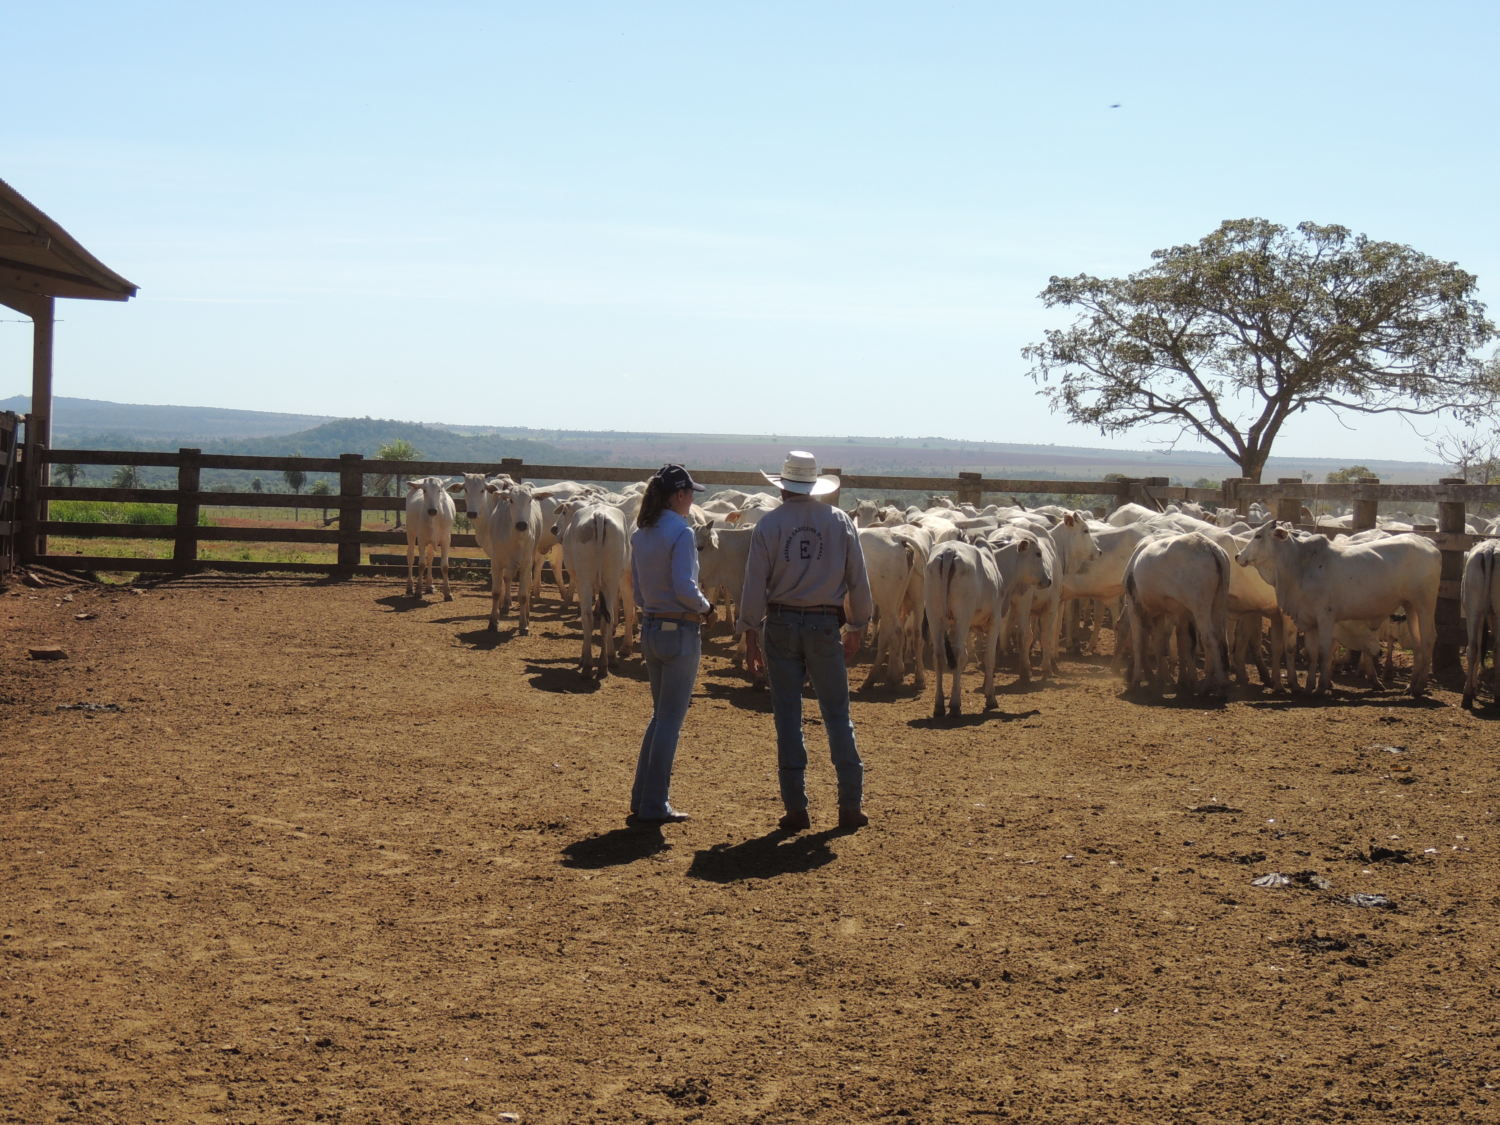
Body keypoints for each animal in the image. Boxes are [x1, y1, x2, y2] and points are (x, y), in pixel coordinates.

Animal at [552, 501, 633, 678]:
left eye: (564, 512)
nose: (554, 529)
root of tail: (599, 514)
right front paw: (610, 656)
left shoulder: (579, 582)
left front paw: (583, 657)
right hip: (611, 580)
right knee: (608, 618)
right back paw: (605, 663)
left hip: (585, 581)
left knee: (587, 616)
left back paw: (588, 665)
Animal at [924, 534, 1056, 717]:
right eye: (1038, 553)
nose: (1048, 580)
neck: (998, 566)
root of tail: (949, 552)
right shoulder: (994, 621)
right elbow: (989, 657)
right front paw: (990, 697)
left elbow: (966, 658)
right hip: (961, 617)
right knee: (957, 653)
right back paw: (956, 704)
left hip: (934, 616)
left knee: (938, 655)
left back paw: (939, 705)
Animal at [1128, 534, 1230, 702]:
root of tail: (1210, 547)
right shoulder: (1166, 613)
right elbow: (1167, 643)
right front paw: (1164, 679)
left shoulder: (1134, 606)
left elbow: (1138, 643)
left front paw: (1136, 680)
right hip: (1218, 604)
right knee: (1220, 639)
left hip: (1200, 606)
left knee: (1209, 638)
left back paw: (1216, 685)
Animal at [1230, 528, 1440, 696]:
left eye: (1258, 535)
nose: (1238, 556)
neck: (1301, 565)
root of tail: (1427, 542)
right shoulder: (1308, 620)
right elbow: (1312, 653)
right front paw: (1309, 687)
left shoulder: (1325, 617)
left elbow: (1324, 651)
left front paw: (1321, 687)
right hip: (1411, 606)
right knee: (1418, 643)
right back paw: (1411, 686)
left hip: (1425, 604)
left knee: (1429, 639)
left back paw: (1420, 686)